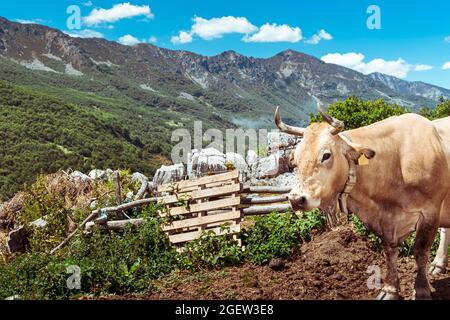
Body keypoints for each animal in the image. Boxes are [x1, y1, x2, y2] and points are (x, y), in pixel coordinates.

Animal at [274, 107, 450, 300]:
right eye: (295, 159)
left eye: (326, 155)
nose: (296, 199)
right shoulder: (385, 222)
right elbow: (390, 252)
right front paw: (389, 289)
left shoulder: (430, 212)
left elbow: (420, 252)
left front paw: (422, 290)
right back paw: (439, 264)